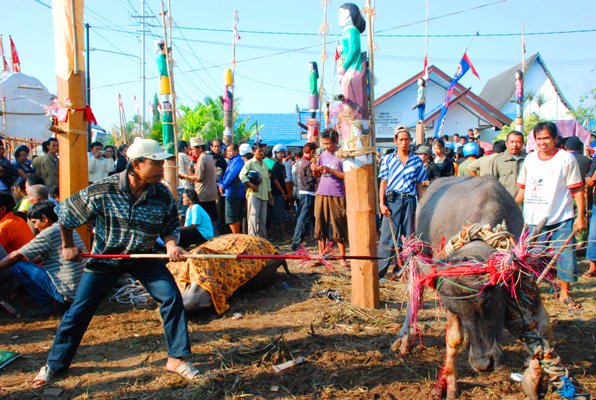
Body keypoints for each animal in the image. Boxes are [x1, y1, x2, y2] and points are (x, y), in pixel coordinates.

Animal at [392, 177, 560, 400]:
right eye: (453, 309)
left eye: (489, 301)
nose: (483, 364)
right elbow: (453, 339)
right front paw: (449, 384)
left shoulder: (525, 284)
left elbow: (543, 327)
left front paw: (532, 382)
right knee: (415, 297)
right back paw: (404, 338)